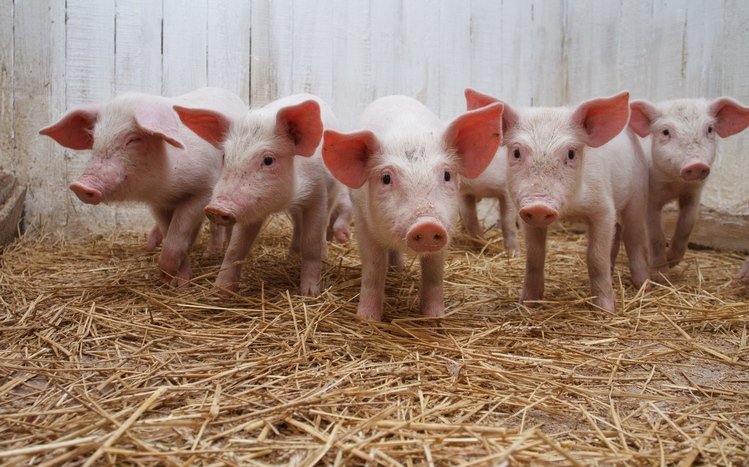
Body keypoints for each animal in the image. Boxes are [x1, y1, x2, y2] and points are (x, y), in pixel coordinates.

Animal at [39, 87, 247, 286]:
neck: (167, 186)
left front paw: (176, 282)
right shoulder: (158, 204)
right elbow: (170, 232)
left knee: (215, 225)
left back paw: (212, 253)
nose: (80, 186)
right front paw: (174, 281)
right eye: (95, 138)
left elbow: (177, 232)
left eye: (133, 139)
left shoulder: (204, 190)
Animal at [173, 94, 351, 296]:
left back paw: (321, 254)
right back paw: (291, 255)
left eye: (268, 160)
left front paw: (310, 293)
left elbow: (311, 243)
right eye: (224, 156)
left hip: (333, 192)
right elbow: (235, 248)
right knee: (297, 224)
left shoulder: (317, 194)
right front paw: (219, 291)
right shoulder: (250, 209)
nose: (216, 208)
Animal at [322, 95, 503, 321]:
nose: (427, 224)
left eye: (447, 175)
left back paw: (398, 270)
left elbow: (434, 272)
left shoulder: (446, 228)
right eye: (386, 178)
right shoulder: (363, 223)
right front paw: (367, 319)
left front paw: (434, 317)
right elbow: (374, 268)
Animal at [465, 89, 649, 313]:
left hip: (638, 193)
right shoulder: (526, 217)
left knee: (634, 235)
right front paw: (526, 304)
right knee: (618, 231)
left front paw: (606, 312)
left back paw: (644, 286)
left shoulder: (603, 207)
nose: (539, 205)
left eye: (570, 153)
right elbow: (535, 256)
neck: (571, 210)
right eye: (516, 152)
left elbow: (596, 256)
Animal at [628, 98, 749, 278]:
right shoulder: (650, 198)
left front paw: (672, 260)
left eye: (709, 129)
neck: (675, 184)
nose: (696, 164)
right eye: (665, 132)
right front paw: (661, 275)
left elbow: (687, 224)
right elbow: (656, 235)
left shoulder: (693, 193)